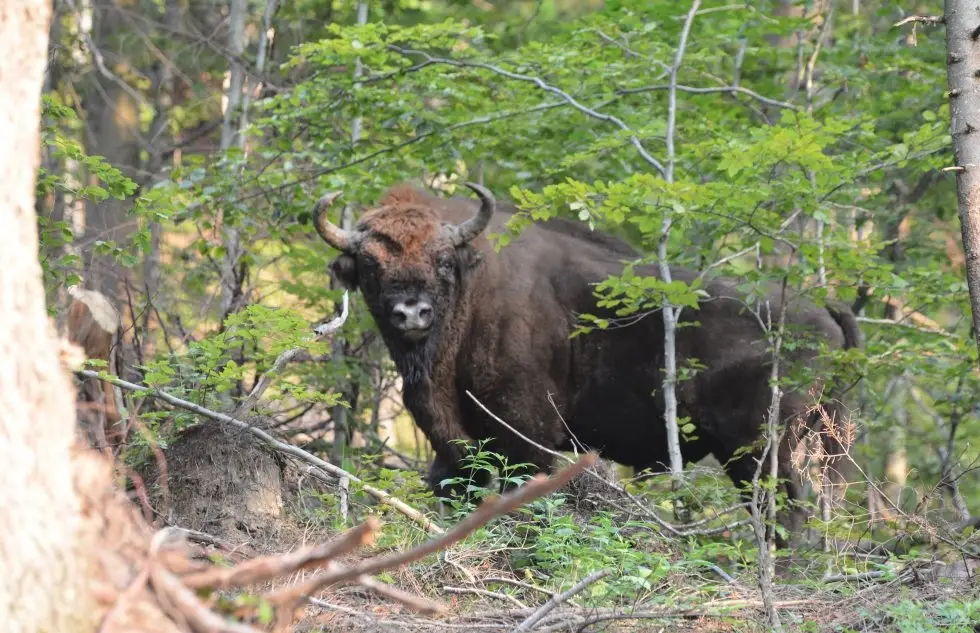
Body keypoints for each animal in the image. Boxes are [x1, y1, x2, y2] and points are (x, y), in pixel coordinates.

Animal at [314, 180, 856, 536]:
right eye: (369, 264)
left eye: (443, 261)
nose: (411, 312)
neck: (474, 289)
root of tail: (821, 312)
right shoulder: (454, 442)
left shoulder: (526, 433)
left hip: (759, 449)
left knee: (786, 511)